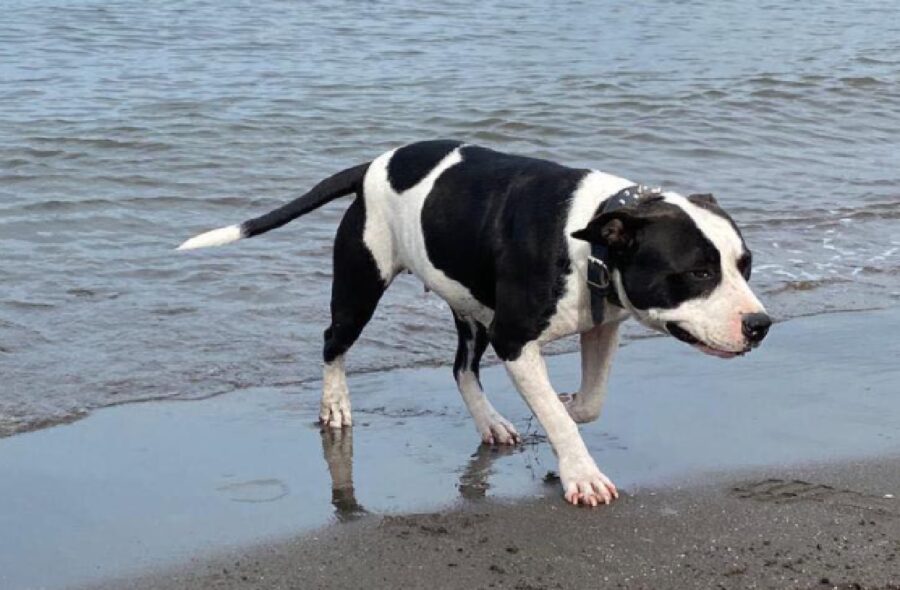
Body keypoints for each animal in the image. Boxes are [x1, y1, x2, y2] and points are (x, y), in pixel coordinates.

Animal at [179, 142, 768, 508]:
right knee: (334, 342)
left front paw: (567, 405)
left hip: (471, 309)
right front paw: (581, 471)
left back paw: (491, 423)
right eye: (697, 272)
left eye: (745, 265)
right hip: (361, 286)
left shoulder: (601, 325)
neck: (594, 238)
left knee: (462, 367)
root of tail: (373, 165)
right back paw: (336, 404)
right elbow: (561, 419)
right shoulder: (515, 339)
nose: (761, 324)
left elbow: (590, 401)